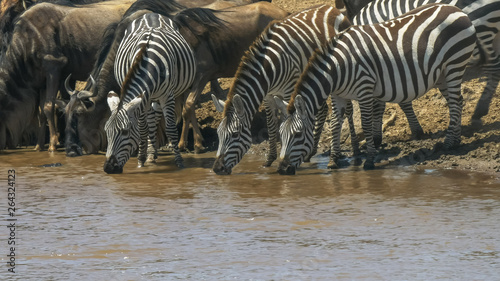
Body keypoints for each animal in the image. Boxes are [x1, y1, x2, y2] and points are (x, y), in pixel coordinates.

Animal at [102, 13, 198, 173]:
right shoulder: (144, 97)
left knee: (156, 117)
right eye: (106, 132)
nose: (109, 168)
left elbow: (171, 128)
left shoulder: (167, 95)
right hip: (149, 98)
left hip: (162, 95)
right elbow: (142, 129)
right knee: (151, 120)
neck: (148, 65)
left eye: (125, 132)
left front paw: (179, 162)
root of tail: (151, 14)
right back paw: (151, 155)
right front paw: (141, 161)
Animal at [211, 4, 352, 174]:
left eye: (235, 134)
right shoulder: (268, 95)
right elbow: (271, 126)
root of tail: (331, 8)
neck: (268, 67)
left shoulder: (289, 90)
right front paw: (269, 160)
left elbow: (287, 121)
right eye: (218, 134)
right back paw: (310, 152)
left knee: (347, 110)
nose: (217, 169)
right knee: (323, 109)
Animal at [278, 4, 476, 174]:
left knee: (455, 103)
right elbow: (335, 124)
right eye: (281, 134)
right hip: (442, 74)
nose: (281, 170)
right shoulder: (338, 94)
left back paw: (449, 144)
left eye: (297, 134)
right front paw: (333, 160)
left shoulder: (364, 88)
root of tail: (457, 9)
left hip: (455, 64)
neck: (338, 68)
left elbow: (366, 123)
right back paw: (456, 140)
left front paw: (370, 160)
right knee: (457, 102)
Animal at [346, 0, 500, 144]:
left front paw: (416, 130)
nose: (372, 142)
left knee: (493, 68)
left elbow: (398, 101)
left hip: (482, 28)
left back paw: (479, 110)